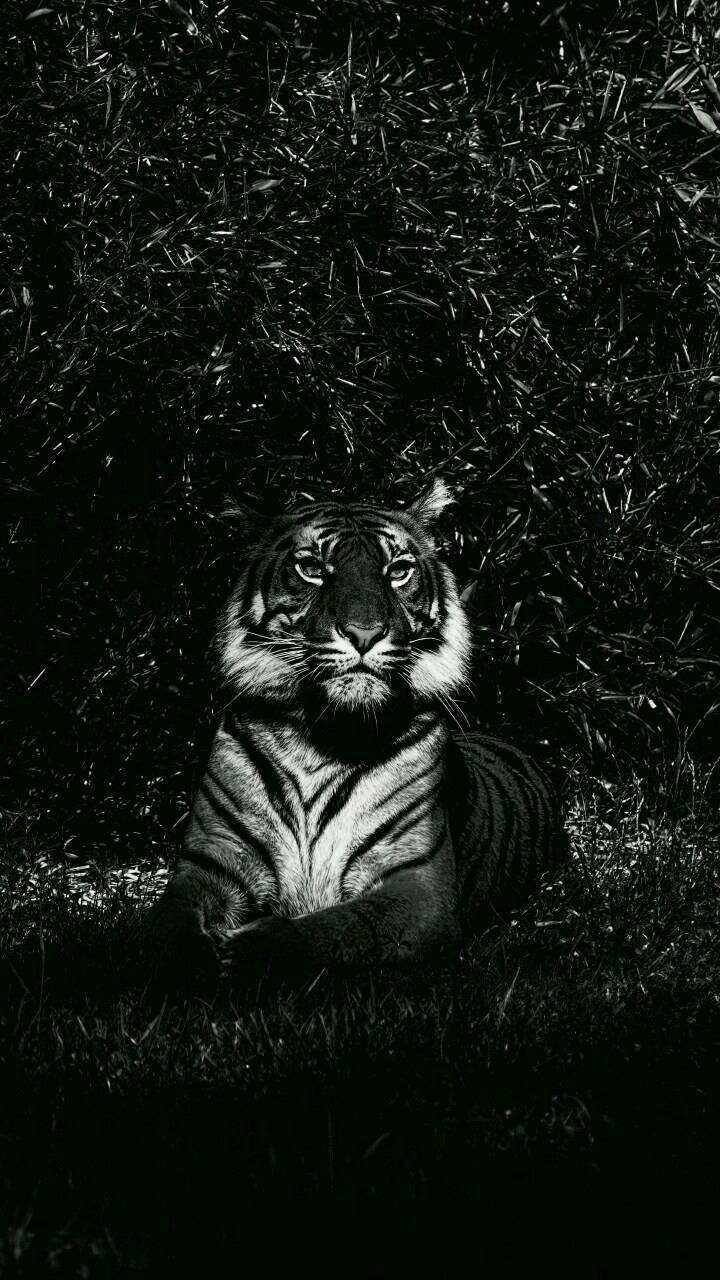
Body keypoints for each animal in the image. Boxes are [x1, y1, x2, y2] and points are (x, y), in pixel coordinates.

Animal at [149, 477, 565, 986]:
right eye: (311, 569)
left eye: (398, 571)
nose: (364, 633)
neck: (320, 739)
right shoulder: (209, 862)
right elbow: (166, 928)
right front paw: (192, 964)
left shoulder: (415, 888)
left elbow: (332, 931)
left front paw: (248, 950)